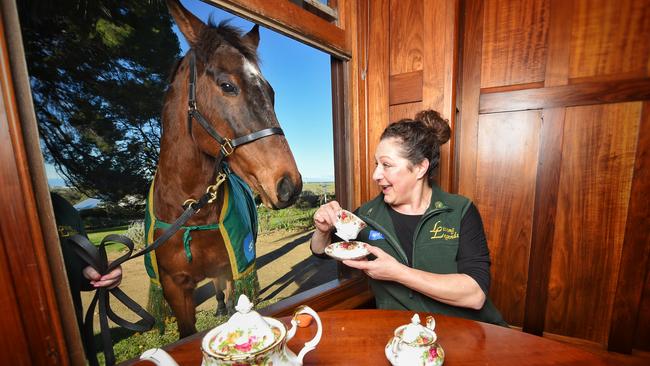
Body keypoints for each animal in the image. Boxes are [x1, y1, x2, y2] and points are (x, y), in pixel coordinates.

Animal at [154, 0, 302, 338]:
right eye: (227, 85)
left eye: (271, 92)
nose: (289, 184)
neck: (191, 214)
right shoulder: (174, 289)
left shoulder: (238, 264)